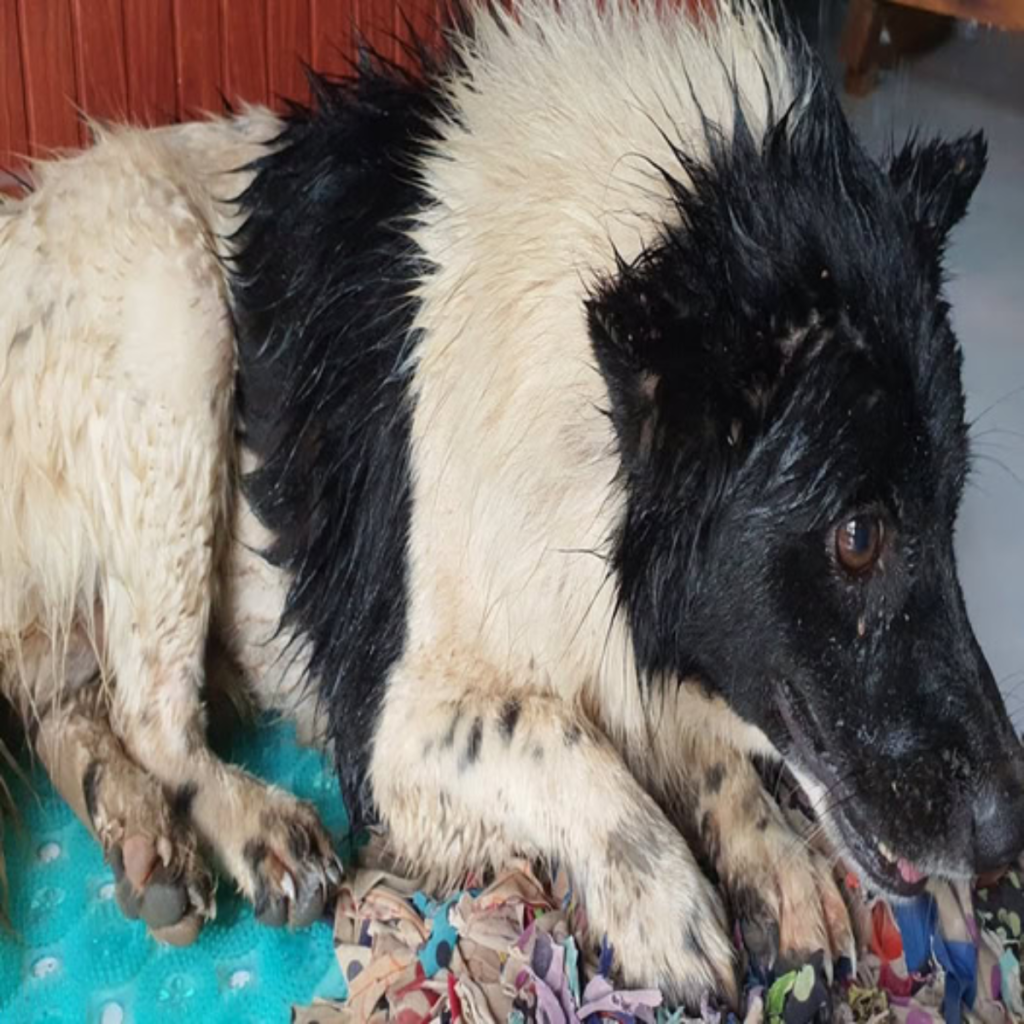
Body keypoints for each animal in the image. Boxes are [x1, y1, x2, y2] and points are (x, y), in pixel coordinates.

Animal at [2, 0, 1024, 1007]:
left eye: (953, 506)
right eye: (858, 538)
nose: (1009, 835)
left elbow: (695, 735)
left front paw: (775, 858)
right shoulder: (396, 723)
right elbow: (556, 732)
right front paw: (663, 901)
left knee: (68, 706)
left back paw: (143, 837)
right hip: (176, 311)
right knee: (153, 720)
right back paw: (253, 823)